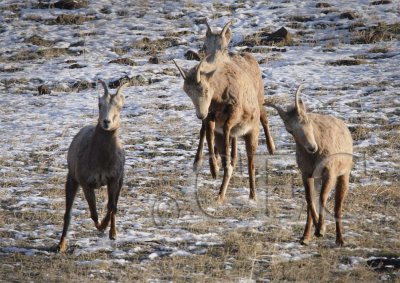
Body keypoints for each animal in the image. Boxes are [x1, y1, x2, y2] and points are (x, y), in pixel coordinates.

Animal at [56, 80, 127, 253]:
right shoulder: (86, 184)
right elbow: (94, 213)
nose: (106, 122)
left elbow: (112, 207)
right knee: (68, 214)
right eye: (100, 104)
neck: (100, 159)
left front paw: (108, 231)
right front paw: (101, 227)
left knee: (114, 207)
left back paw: (113, 233)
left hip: (119, 183)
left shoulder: (114, 181)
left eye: (120, 106)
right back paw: (61, 245)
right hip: (72, 182)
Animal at [173, 53, 260, 204]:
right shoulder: (211, 116)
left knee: (251, 164)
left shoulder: (234, 112)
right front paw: (214, 169)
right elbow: (209, 134)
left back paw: (252, 196)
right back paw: (220, 195)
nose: (200, 114)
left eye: (206, 89)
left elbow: (226, 128)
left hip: (252, 134)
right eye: (188, 92)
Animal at [193, 21, 276, 179]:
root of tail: (249, 57)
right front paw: (202, 163)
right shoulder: (208, 112)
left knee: (264, 118)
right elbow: (205, 131)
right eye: (204, 47)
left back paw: (271, 148)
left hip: (259, 98)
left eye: (224, 48)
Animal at [266, 85, 354, 247]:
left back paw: (340, 240)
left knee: (338, 206)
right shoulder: (306, 174)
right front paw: (316, 231)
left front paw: (321, 230)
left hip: (343, 174)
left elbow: (322, 197)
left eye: (307, 121)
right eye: (290, 130)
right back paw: (305, 237)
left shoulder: (329, 173)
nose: (312, 147)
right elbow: (309, 199)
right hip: (317, 178)